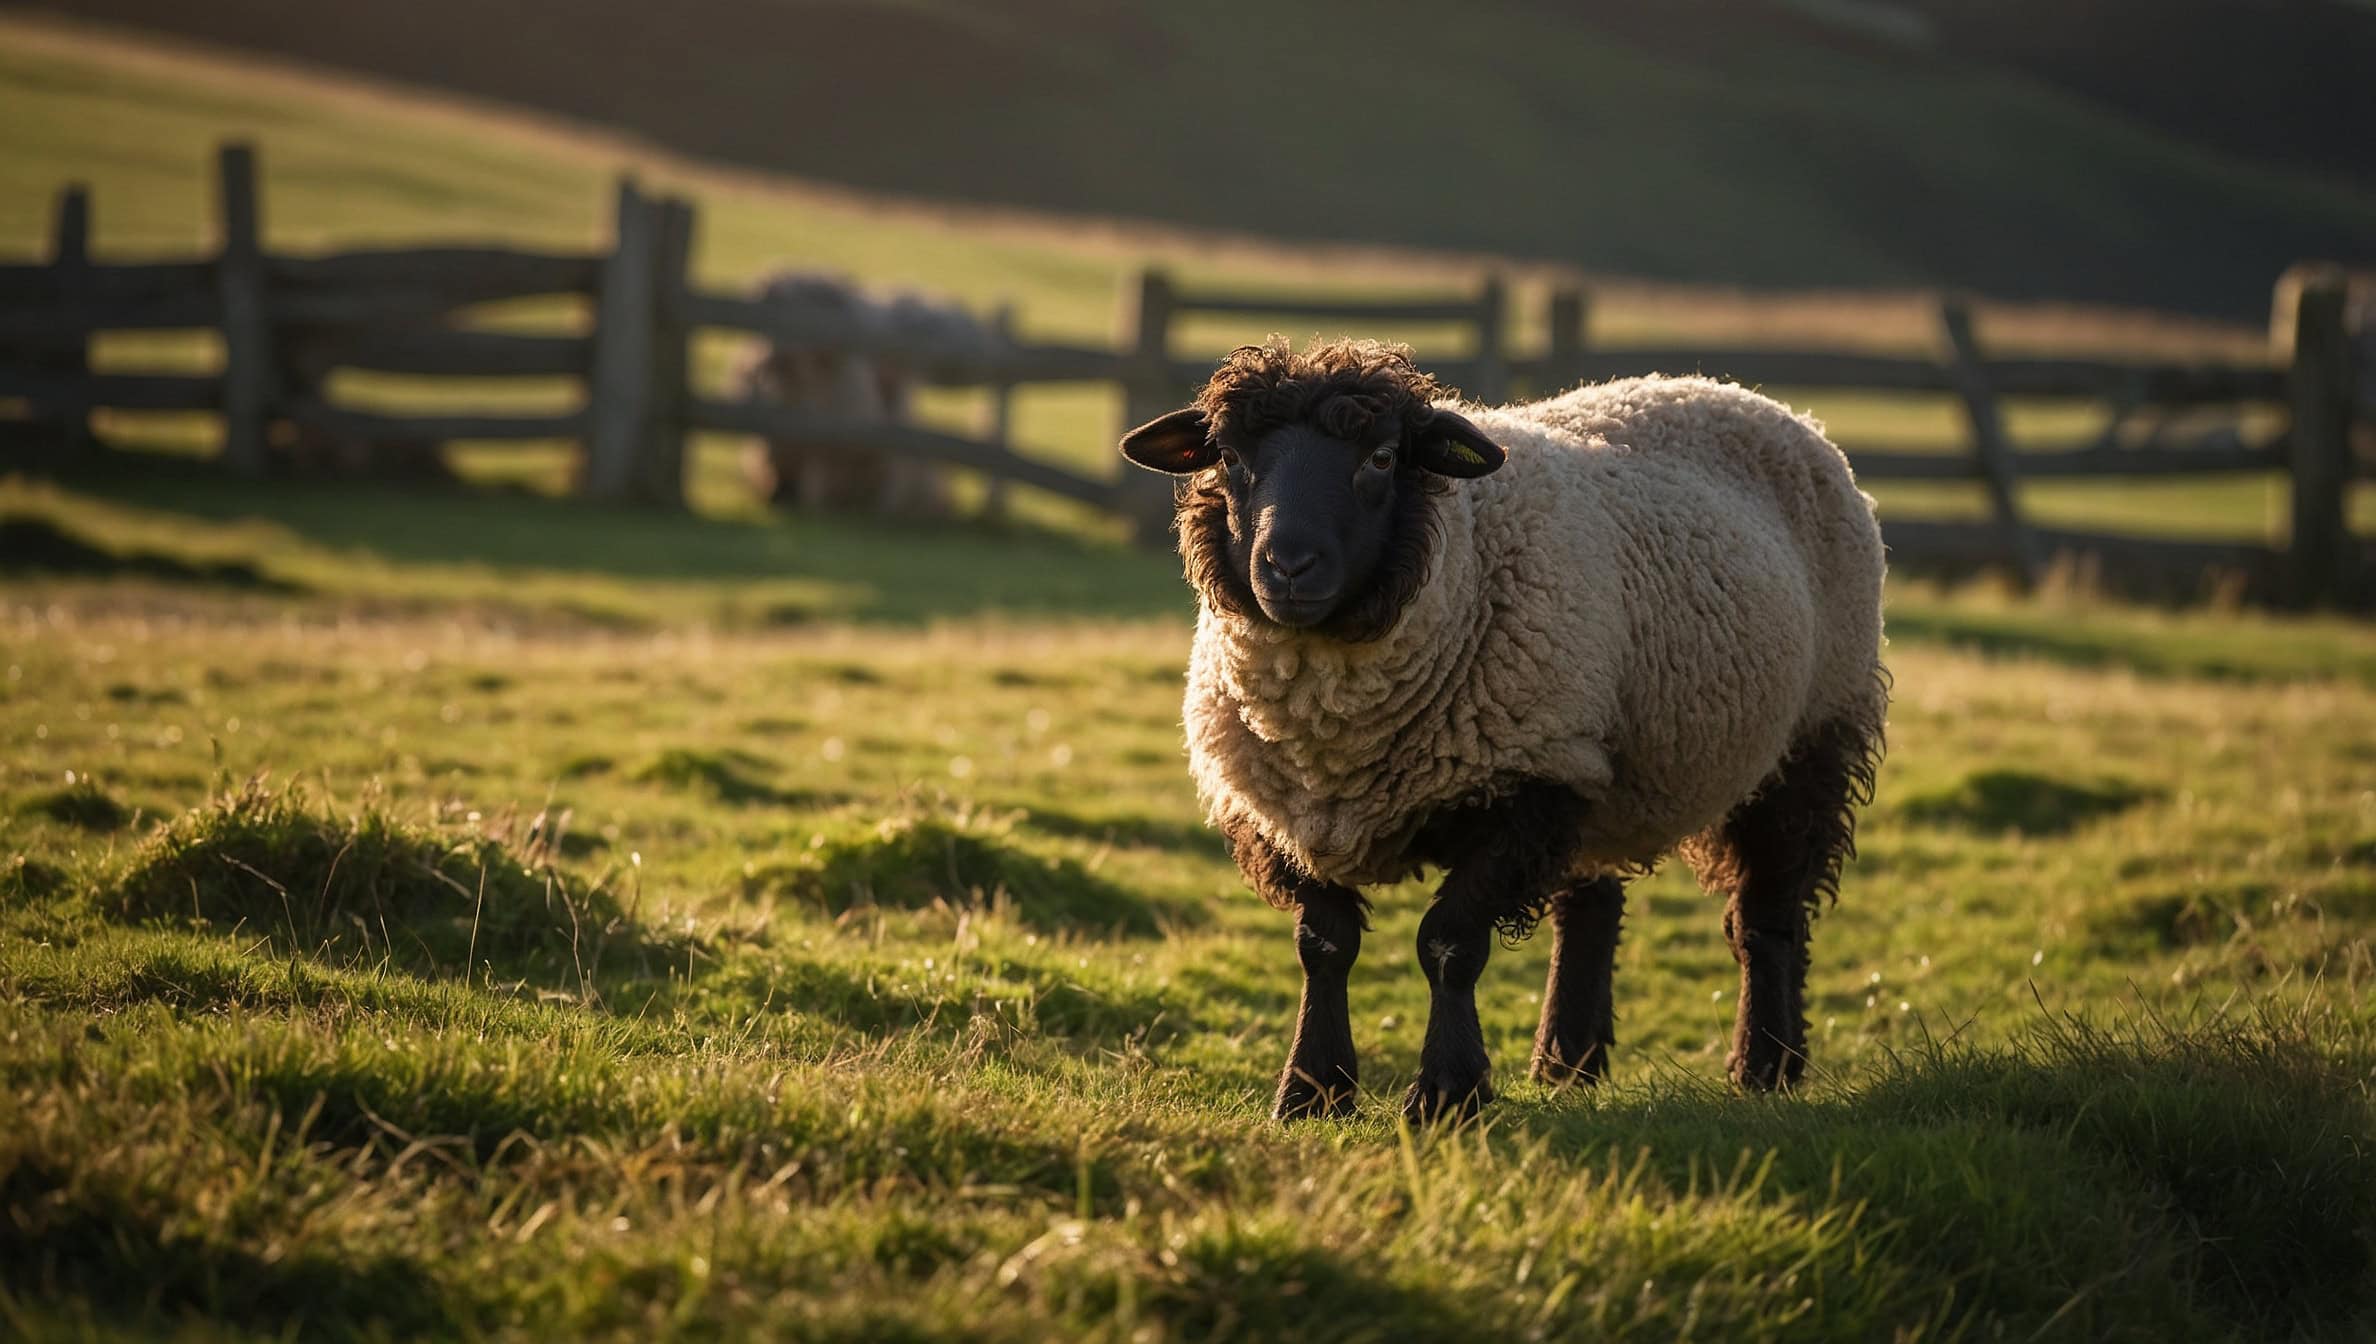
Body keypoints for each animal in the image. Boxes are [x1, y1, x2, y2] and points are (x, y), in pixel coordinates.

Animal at [1118, 338, 1887, 1122]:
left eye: (1383, 458)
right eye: (1230, 457)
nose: (1288, 566)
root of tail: (1751, 396)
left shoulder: (1522, 786)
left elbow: (1448, 946)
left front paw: (1445, 1094)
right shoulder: (1285, 812)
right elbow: (1323, 946)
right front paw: (1313, 1092)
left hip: (1808, 735)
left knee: (1768, 916)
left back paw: (1766, 1064)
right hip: (1597, 759)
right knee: (1591, 907)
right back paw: (1567, 1063)